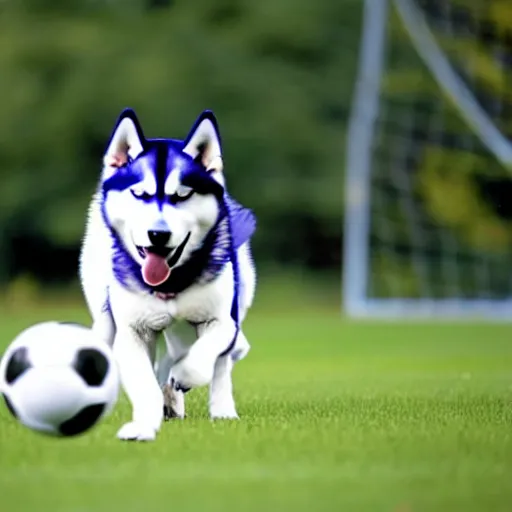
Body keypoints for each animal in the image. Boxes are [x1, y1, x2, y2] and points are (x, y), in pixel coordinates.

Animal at [79, 108, 256, 440]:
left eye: (182, 195)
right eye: (139, 193)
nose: (157, 235)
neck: (172, 281)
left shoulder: (223, 320)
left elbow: (203, 360)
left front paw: (183, 377)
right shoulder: (132, 331)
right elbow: (143, 382)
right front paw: (144, 425)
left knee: (218, 364)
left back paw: (220, 410)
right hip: (105, 315)